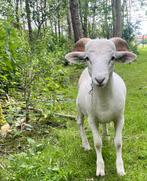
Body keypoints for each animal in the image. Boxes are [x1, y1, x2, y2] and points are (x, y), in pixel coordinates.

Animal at [65, 37, 137, 176]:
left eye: (113, 57)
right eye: (87, 58)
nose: (99, 79)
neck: (104, 101)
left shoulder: (120, 118)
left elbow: (118, 143)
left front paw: (120, 169)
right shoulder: (92, 120)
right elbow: (98, 143)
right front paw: (100, 168)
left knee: (104, 124)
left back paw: (105, 135)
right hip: (79, 108)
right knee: (80, 123)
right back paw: (86, 145)